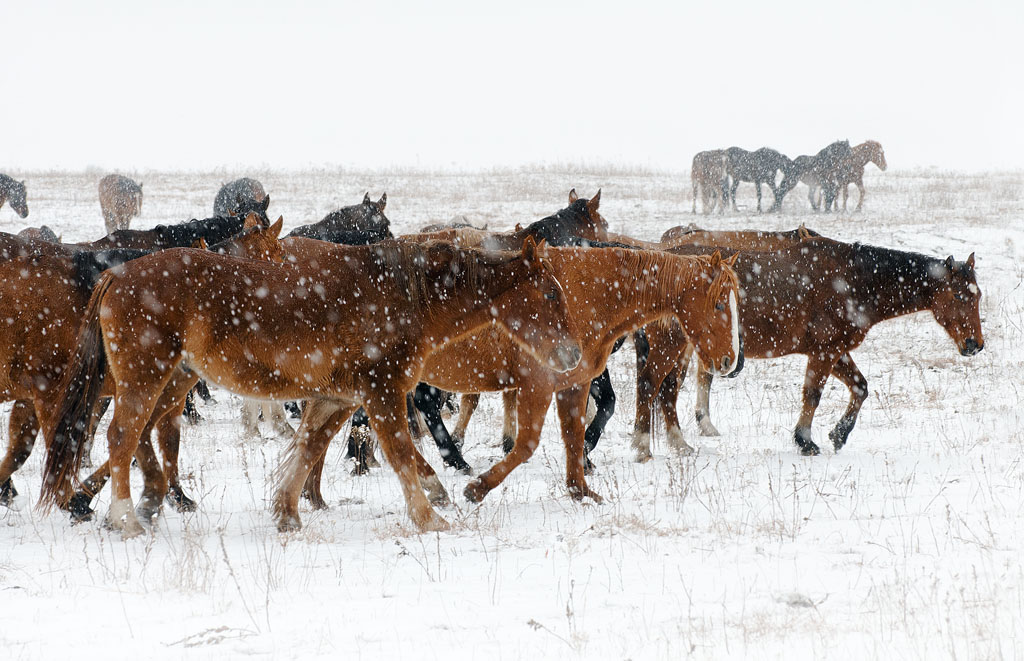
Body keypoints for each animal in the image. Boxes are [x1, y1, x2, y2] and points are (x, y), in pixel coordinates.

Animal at [41, 238, 585, 540]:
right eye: (550, 293)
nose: (573, 355)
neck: (405, 294)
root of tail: (116, 274)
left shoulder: (336, 399)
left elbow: (307, 448)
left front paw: (286, 513)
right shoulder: (383, 393)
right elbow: (401, 454)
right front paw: (429, 517)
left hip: (173, 377)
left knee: (143, 434)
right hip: (147, 376)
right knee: (122, 436)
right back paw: (126, 519)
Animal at [299, 245, 741, 509]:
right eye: (720, 303)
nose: (729, 361)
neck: (587, 293)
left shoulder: (573, 386)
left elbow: (573, 437)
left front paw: (581, 490)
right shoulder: (537, 386)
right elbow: (525, 445)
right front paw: (477, 489)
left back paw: (312, 495)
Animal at [630, 238, 983, 460]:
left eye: (977, 295)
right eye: (958, 296)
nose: (975, 345)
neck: (853, 280)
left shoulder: (835, 350)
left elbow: (861, 388)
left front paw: (839, 434)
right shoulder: (824, 352)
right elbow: (813, 395)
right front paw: (805, 441)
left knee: (668, 389)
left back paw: (679, 445)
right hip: (671, 344)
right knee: (650, 383)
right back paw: (644, 447)